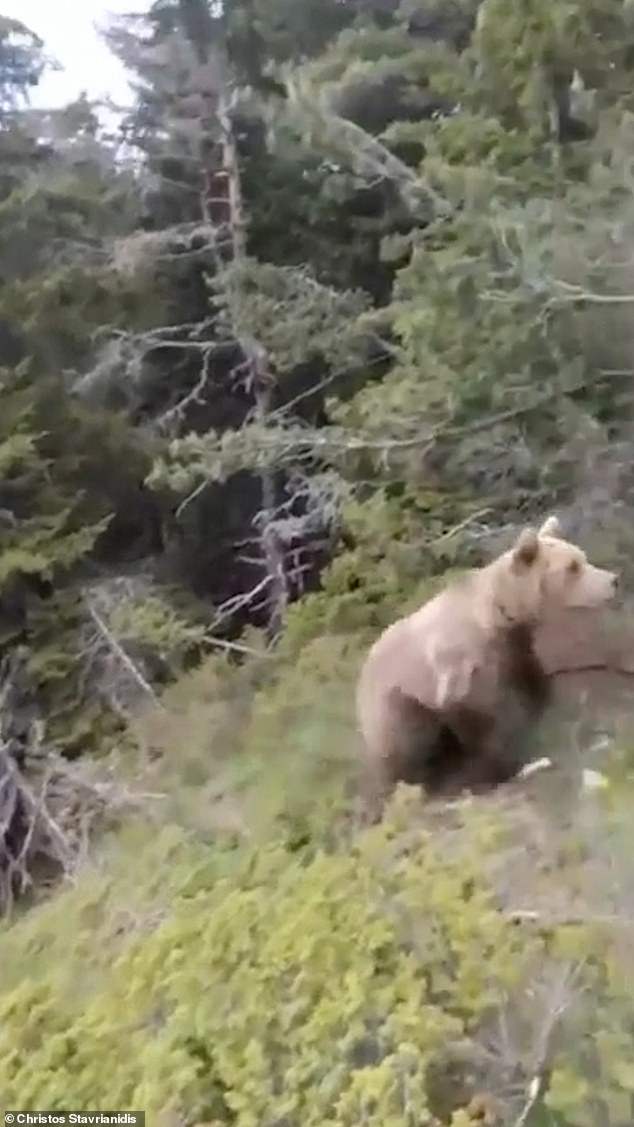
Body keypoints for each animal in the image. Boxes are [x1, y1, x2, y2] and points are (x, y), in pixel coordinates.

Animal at [356, 515, 619, 819]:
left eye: (581, 557)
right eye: (572, 567)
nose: (613, 580)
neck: (502, 617)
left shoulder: (515, 652)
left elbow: (531, 690)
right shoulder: (463, 669)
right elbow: (486, 718)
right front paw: (493, 768)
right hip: (393, 704)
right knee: (407, 745)